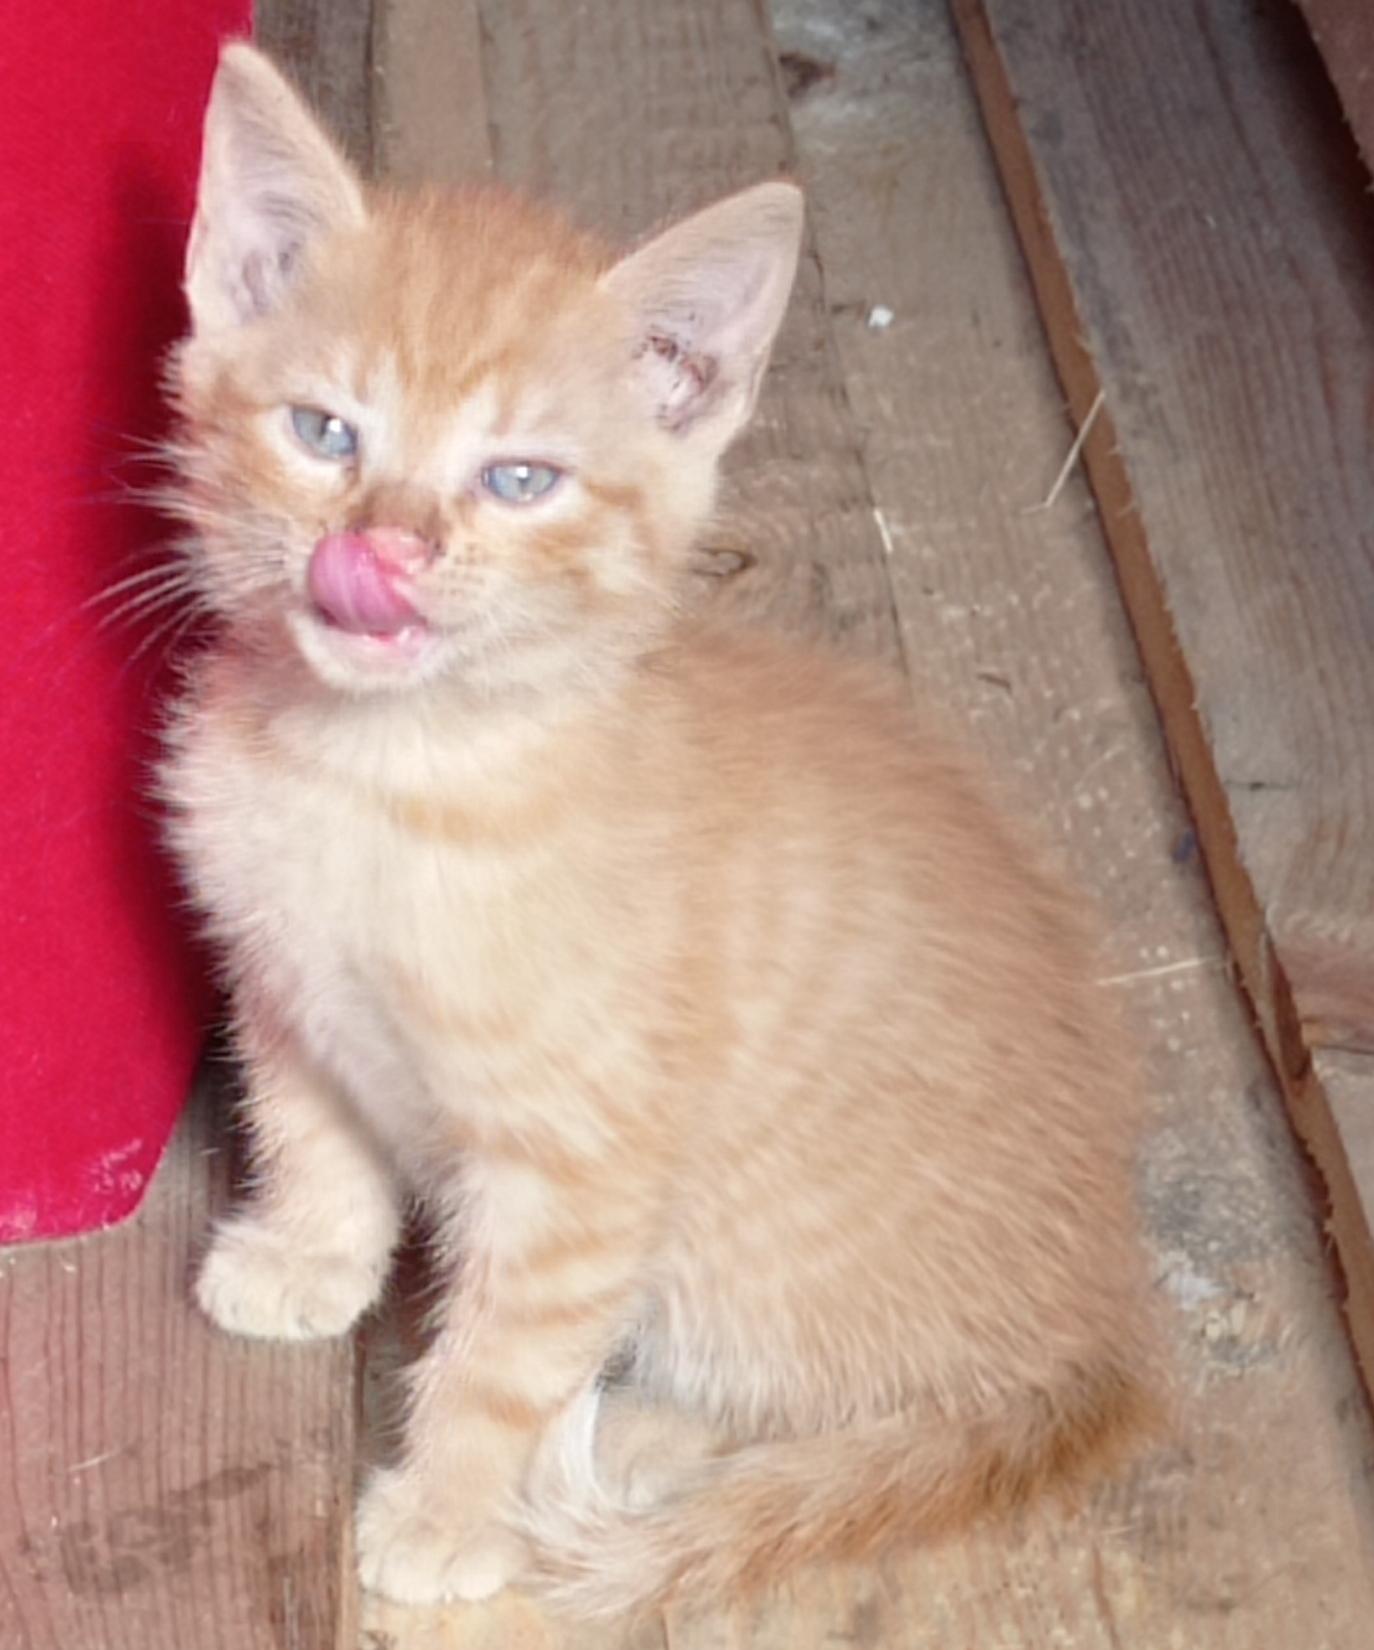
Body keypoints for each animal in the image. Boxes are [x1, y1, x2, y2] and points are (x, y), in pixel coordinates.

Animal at [161, 41, 1161, 1618]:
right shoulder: (284, 988)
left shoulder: (586, 1164)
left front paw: (444, 1507)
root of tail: (1099, 1324)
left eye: (519, 479)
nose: (382, 549)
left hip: (753, 1249)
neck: (389, 775)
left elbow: (508, 1352)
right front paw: (309, 1254)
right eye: (325, 432)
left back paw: (637, 1435)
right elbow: (312, 1133)